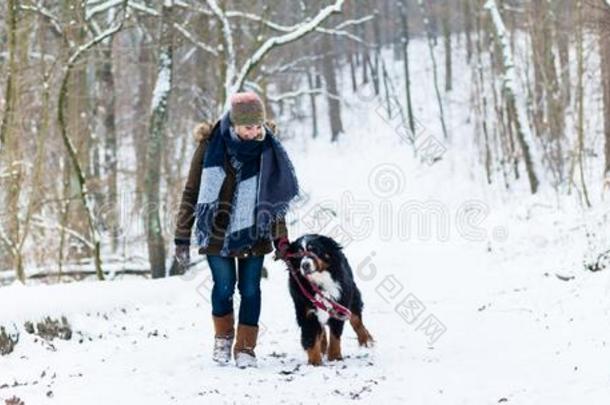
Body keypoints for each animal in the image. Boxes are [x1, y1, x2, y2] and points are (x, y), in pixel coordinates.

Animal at [284, 232, 372, 364]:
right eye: (298, 254)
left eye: (314, 250)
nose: (305, 265)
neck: (319, 283)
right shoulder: (307, 312)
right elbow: (311, 337)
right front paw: (315, 362)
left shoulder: (340, 303)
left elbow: (335, 336)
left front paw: (335, 357)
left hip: (352, 295)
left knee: (356, 320)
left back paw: (366, 341)